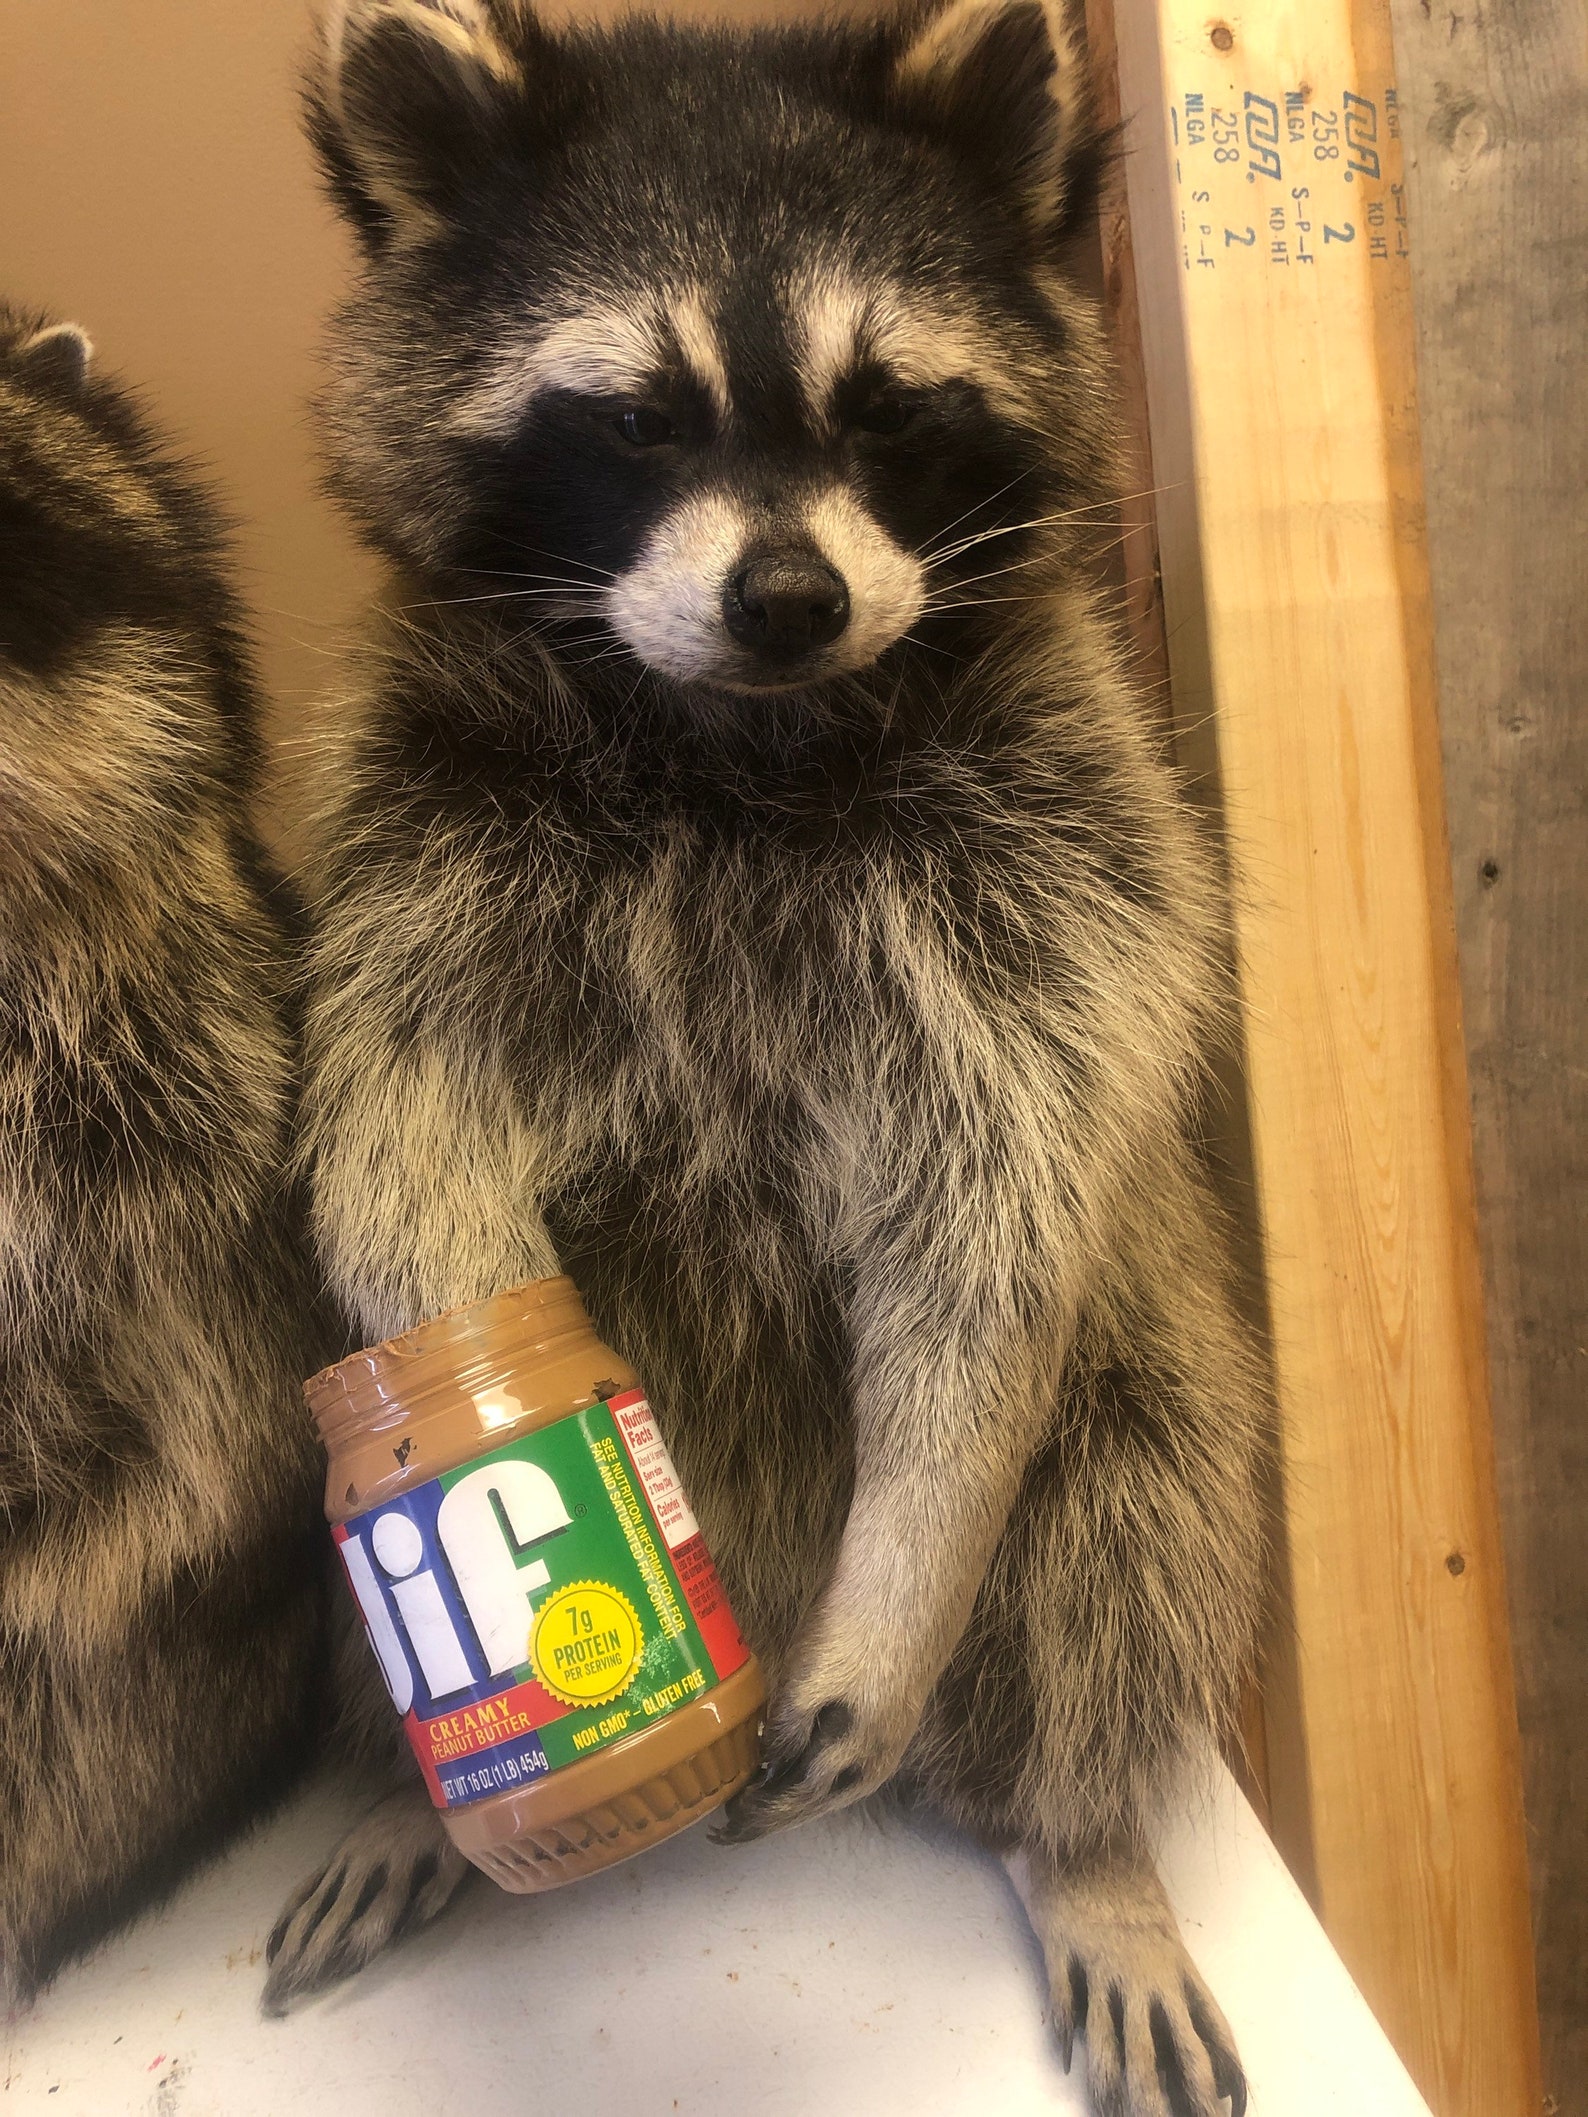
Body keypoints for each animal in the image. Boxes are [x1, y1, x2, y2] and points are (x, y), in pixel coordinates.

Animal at [273, 5, 1266, 2111]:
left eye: (882, 406)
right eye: (639, 418)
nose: (789, 598)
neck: (731, 730)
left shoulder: (1059, 831)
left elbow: (1000, 1211)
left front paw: (906, 1568)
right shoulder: (411, 826)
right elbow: (401, 1148)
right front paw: (473, 1467)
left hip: (1137, 1424)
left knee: (1132, 1508)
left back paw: (1076, 1834)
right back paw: (399, 1785)